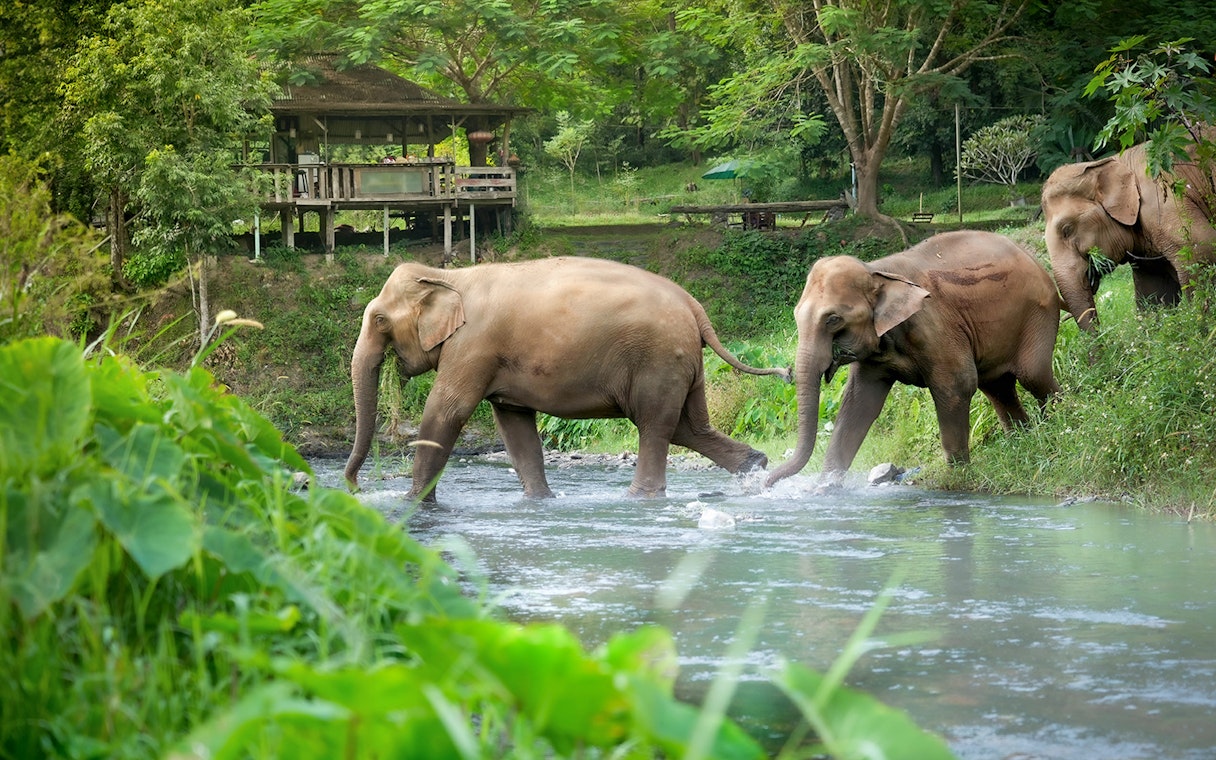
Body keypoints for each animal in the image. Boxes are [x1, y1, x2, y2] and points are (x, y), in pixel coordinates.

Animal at [344, 256, 791, 502]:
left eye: (380, 320)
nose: (355, 488)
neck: (448, 276)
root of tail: (694, 305)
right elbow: (513, 423)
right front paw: (540, 501)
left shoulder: (473, 346)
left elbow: (447, 411)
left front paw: (411, 503)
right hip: (682, 361)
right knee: (689, 426)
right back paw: (755, 467)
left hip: (658, 359)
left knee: (654, 425)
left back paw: (637, 498)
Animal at [765, 231, 1062, 487]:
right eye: (796, 315)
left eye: (833, 319)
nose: (765, 481)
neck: (877, 272)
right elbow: (859, 403)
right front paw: (824, 489)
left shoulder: (934, 325)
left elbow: (956, 386)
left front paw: (957, 478)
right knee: (998, 387)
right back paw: (1021, 440)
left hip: (1038, 314)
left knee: (1032, 375)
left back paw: (1057, 424)